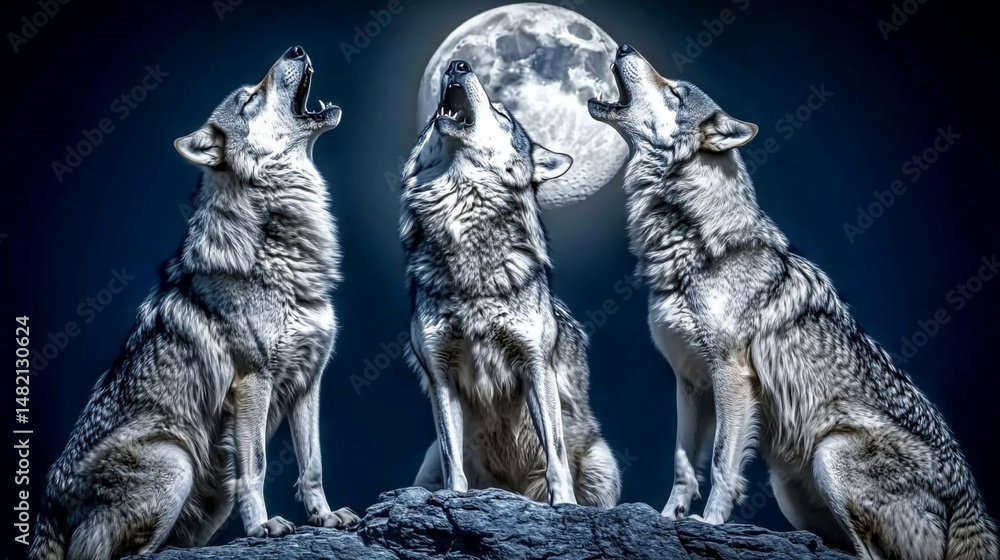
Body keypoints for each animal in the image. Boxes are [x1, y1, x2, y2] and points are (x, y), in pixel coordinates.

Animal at [28, 46, 358, 560]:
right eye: (248, 99)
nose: (296, 49)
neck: (280, 242)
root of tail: (47, 510)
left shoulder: (309, 382)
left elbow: (314, 463)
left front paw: (324, 517)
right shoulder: (253, 382)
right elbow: (257, 466)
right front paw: (262, 527)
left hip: (208, 490)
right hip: (177, 462)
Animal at [399, 60, 621, 508]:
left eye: (502, 112)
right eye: (430, 120)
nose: (458, 63)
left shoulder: (536, 366)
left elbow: (555, 456)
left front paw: (563, 505)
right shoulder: (440, 376)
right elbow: (453, 462)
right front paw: (455, 500)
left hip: (603, 465)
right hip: (425, 466)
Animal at [589, 44, 998, 560]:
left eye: (676, 93)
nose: (623, 47)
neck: (694, 240)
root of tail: (970, 499)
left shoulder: (732, 377)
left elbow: (721, 463)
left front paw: (711, 524)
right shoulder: (690, 382)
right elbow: (683, 465)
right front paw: (667, 519)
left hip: (829, 455)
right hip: (792, 489)